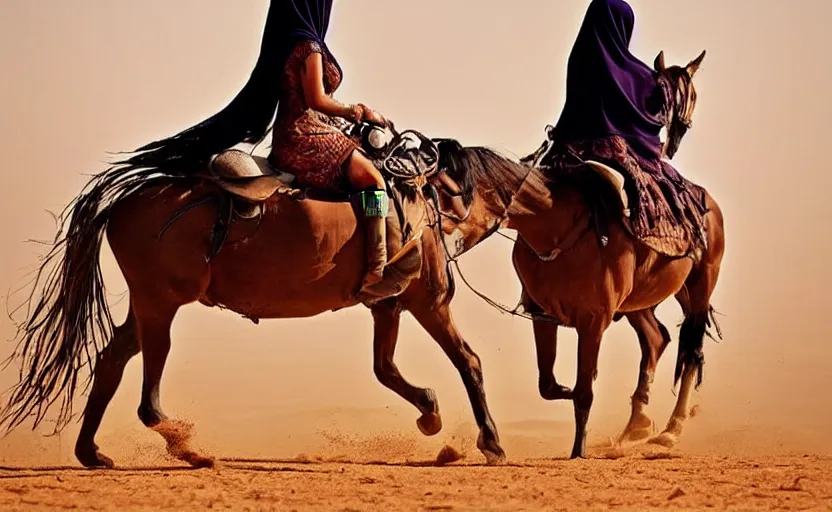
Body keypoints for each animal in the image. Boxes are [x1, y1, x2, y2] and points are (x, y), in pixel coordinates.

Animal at [1, 125, 528, 468]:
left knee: (112, 357)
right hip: (161, 304)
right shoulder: (427, 301)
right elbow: (468, 362)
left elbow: (385, 369)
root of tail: (121, 204)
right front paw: (490, 443)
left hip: (146, 304)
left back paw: (91, 452)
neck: (430, 198)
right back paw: (184, 446)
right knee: (147, 388)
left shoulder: (386, 304)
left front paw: (430, 414)